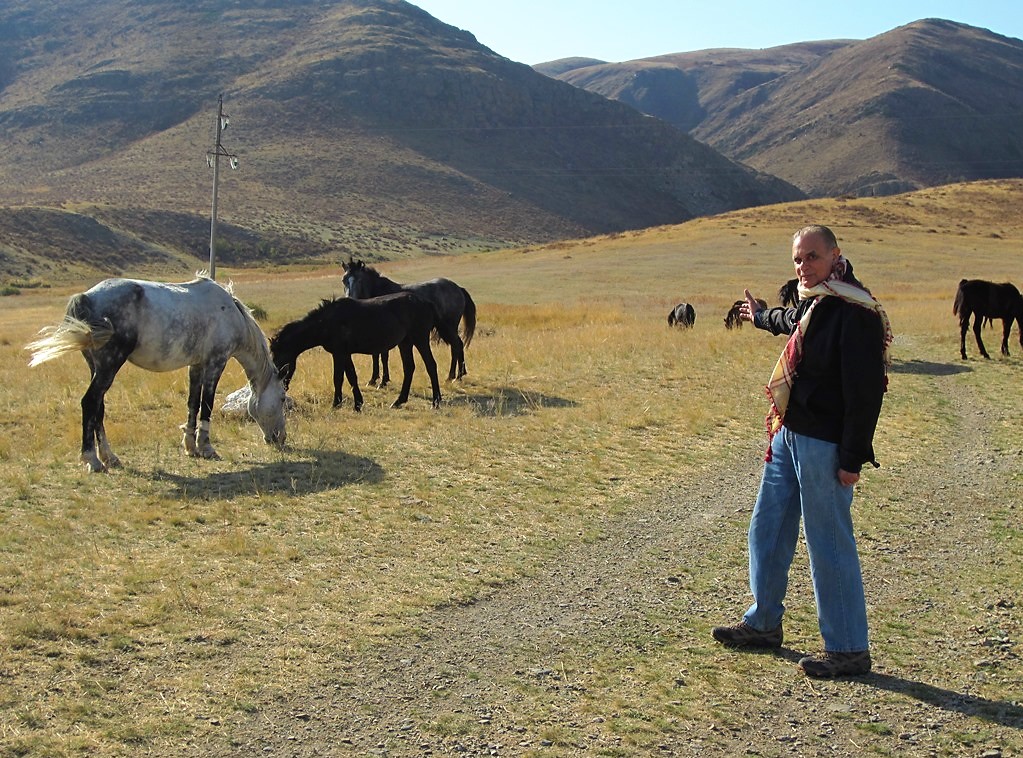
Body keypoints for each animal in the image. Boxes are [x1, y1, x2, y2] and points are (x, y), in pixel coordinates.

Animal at [24, 274, 288, 470]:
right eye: (283, 398)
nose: (280, 438)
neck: (229, 312)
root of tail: (87, 297)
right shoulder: (216, 362)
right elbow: (207, 404)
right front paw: (206, 447)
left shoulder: (196, 365)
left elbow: (193, 404)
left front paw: (190, 446)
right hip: (109, 365)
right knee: (90, 402)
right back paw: (93, 460)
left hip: (97, 368)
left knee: (98, 407)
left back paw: (110, 457)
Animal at [270, 290, 454, 411]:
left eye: (280, 363)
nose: (282, 390)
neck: (326, 323)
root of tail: (427, 303)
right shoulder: (345, 354)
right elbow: (351, 376)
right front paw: (357, 403)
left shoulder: (339, 353)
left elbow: (338, 378)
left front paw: (336, 403)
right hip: (405, 343)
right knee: (409, 368)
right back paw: (399, 401)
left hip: (420, 339)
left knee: (431, 365)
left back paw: (436, 402)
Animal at [339, 258, 474, 384]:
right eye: (344, 280)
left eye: (359, 280)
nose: (349, 299)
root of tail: (458, 288)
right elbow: (375, 355)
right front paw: (373, 379)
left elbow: (383, 356)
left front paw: (383, 381)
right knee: (457, 345)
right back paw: (457, 375)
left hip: (449, 327)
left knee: (456, 345)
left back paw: (454, 376)